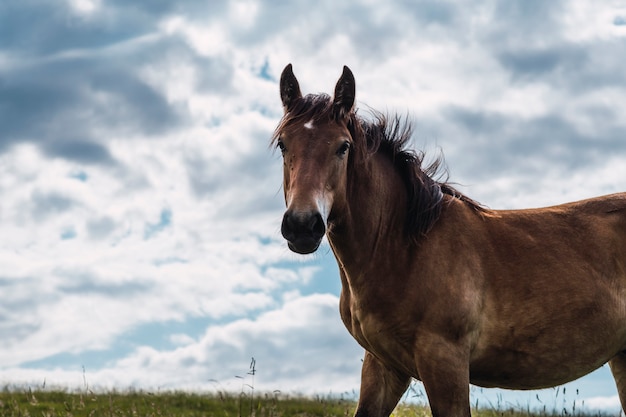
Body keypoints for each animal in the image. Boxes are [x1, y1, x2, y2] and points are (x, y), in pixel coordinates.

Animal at [270, 62, 624, 416]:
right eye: (284, 145)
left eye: (343, 147)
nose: (303, 225)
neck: (403, 249)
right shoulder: (384, 365)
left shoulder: (444, 361)